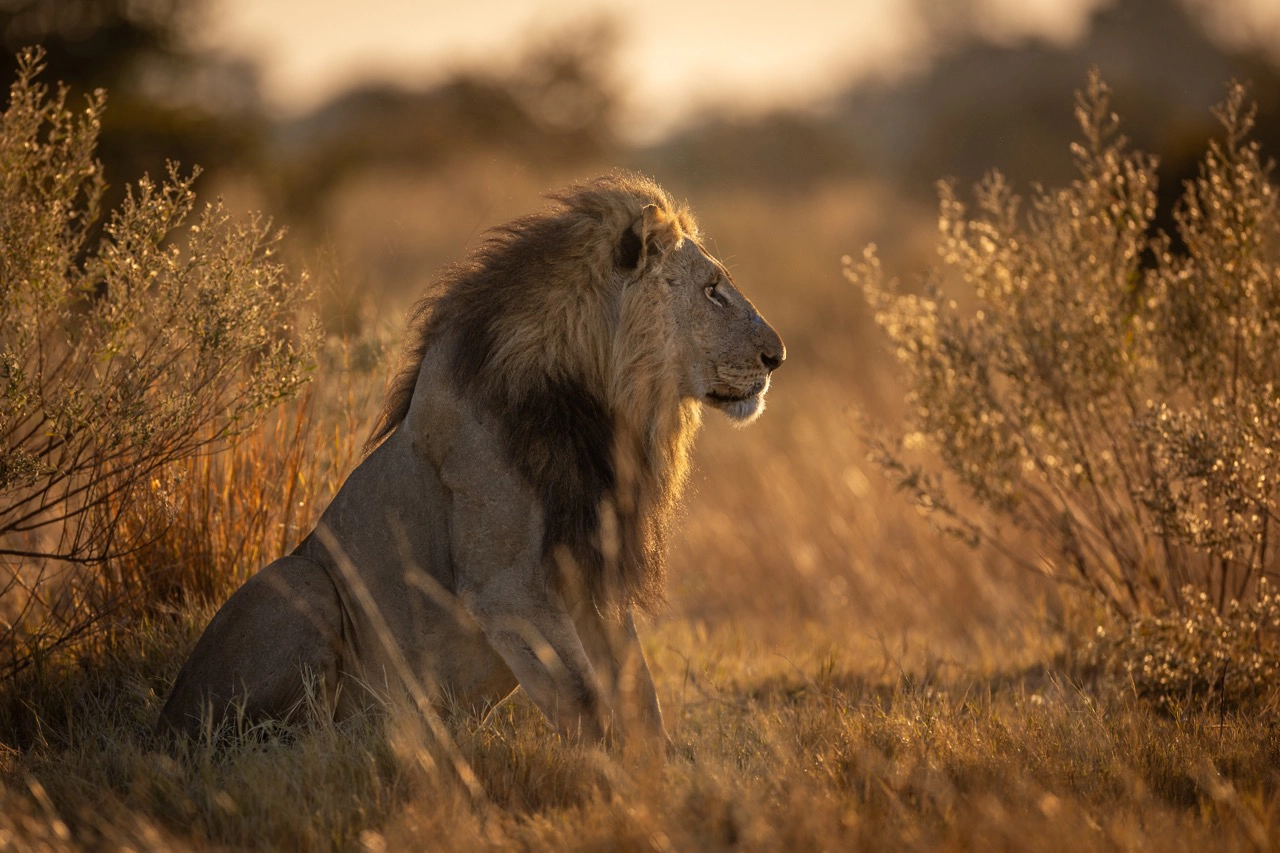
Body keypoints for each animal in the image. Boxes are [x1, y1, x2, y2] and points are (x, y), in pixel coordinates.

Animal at [156, 172, 783, 742]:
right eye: (712, 289)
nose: (777, 356)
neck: (597, 405)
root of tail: (166, 717)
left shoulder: (588, 569)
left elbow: (639, 696)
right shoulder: (507, 590)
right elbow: (586, 703)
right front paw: (616, 786)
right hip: (301, 580)